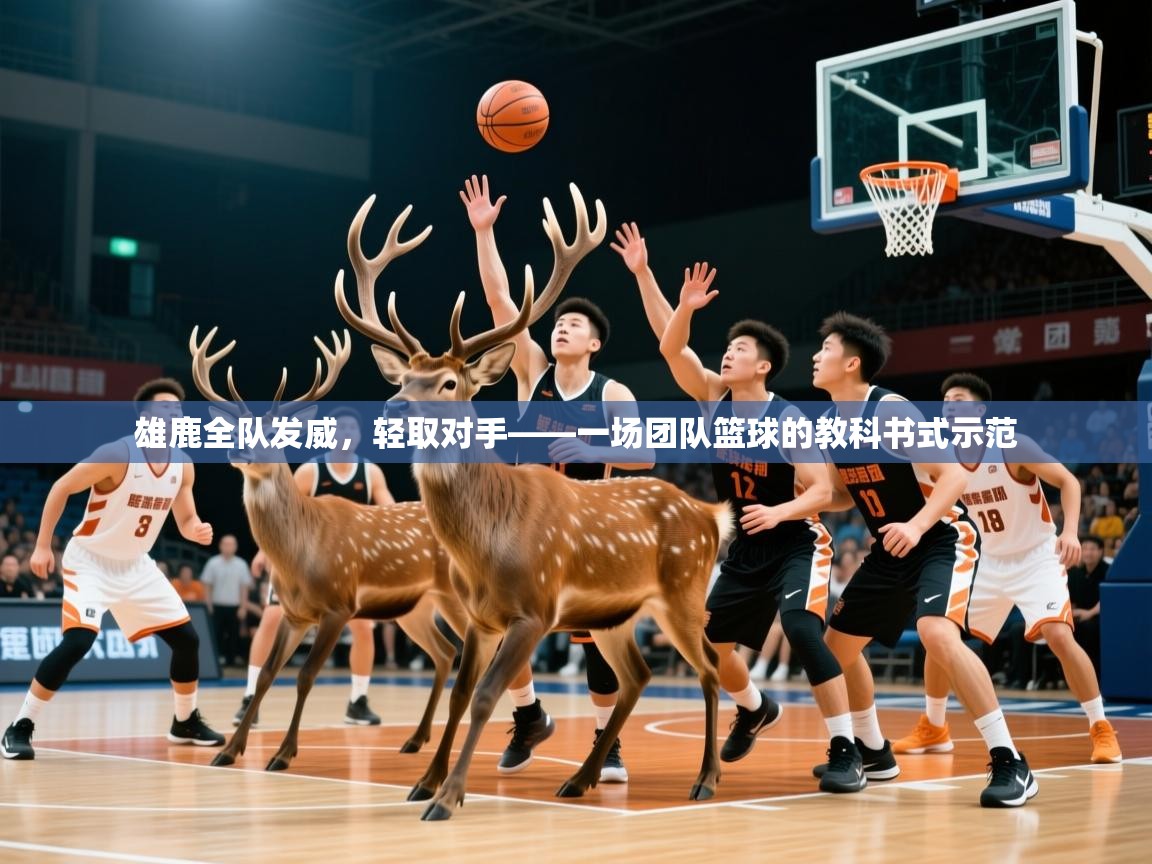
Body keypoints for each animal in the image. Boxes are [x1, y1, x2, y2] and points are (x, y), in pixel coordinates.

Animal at [188, 325, 469, 772]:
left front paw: (283, 754)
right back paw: (415, 739)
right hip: (416, 607)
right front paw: (229, 751)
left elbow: (306, 676)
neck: (302, 552)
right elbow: (267, 672)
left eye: (274, 433)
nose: (237, 451)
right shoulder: (293, 612)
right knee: (445, 652)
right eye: (235, 429)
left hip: (456, 596)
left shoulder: (337, 605)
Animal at [333, 187, 733, 821]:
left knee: (710, 668)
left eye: (450, 382)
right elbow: (462, 693)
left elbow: (485, 696)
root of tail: (710, 515)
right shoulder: (480, 615)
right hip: (615, 613)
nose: (393, 407)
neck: (486, 543)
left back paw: (706, 779)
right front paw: (425, 782)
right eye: (406, 377)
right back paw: (581, 778)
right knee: (637, 676)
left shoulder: (535, 608)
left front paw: (447, 797)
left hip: (684, 592)